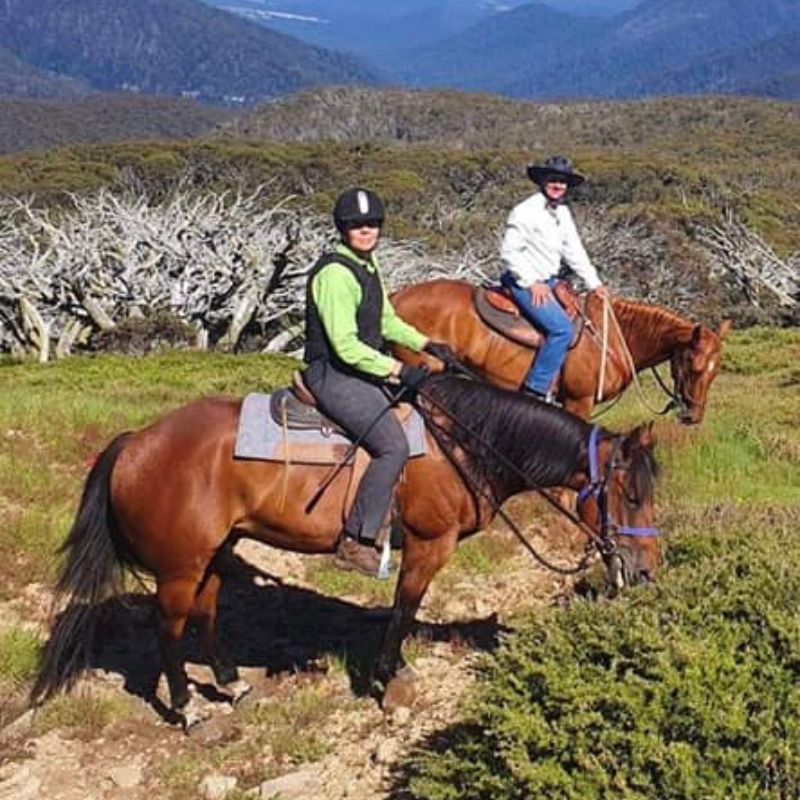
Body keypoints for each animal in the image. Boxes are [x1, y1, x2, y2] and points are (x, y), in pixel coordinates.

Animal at [34, 374, 660, 724]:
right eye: (631, 495)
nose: (647, 573)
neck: (462, 443)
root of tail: (135, 441)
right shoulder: (429, 545)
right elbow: (404, 609)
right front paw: (390, 680)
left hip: (215, 551)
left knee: (206, 614)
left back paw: (233, 684)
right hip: (180, 566)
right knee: (169, 628)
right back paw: (188, 710)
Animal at [390, 278, 732, 422]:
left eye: (716, 373)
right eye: (694, 367)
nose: (693, 416)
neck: (613, 336)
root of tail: (394, 297)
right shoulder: (578, 400)